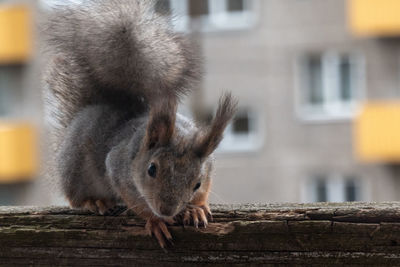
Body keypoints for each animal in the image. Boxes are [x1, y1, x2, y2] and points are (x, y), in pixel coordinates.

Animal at [42, 0, 236, 249]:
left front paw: (195, 209)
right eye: (151, 169)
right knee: (75, 198)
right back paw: (95, 201)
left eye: (197, 183)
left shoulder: (208, 168)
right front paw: (155, 221)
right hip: (74, 170)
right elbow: (136, 202)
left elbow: (203, 194)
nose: (166, 210)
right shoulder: (117, 167)